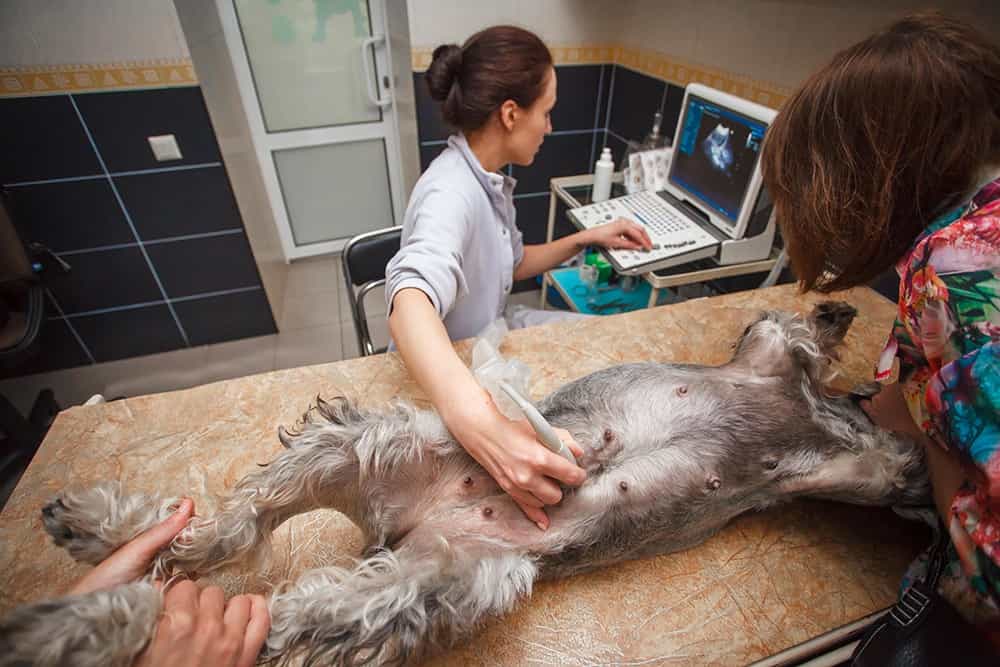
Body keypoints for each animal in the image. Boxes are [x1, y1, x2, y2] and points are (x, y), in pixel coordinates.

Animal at [0, 304, 928, 667]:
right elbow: (797, 329)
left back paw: (97, 553)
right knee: (240, 543)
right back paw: (91, 546)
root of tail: (396, 526)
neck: (819, 418)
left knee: (257, 562)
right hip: (371, 455)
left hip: (434, 572)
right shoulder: (773, 349)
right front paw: (842, 322)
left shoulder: (860, 468)